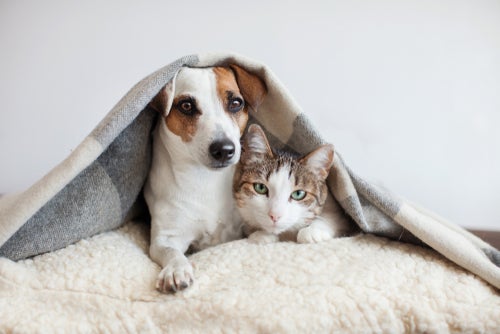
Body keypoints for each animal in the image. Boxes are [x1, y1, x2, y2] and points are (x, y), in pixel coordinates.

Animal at [143, 63, 268, 292]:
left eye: (236, 103)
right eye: (186, 106)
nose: (224, 149)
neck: (206, 180)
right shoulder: (165, 238)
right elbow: (171, 252)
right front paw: (176, 269)